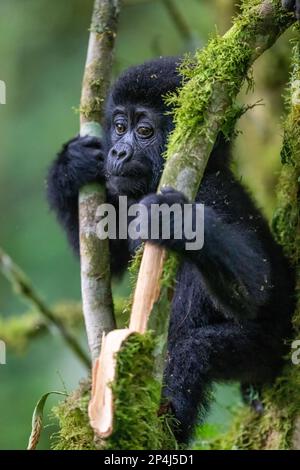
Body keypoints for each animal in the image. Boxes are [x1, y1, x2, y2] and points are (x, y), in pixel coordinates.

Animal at [48, 50, 294, 440]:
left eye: (144, 131)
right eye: (120, 126)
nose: (118, 152)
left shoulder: (213, 194)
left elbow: (257, 285)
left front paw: (174, 221)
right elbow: (110, 260)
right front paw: (69, 165)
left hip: (266, 350)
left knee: (196, 346)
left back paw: (167, 421)